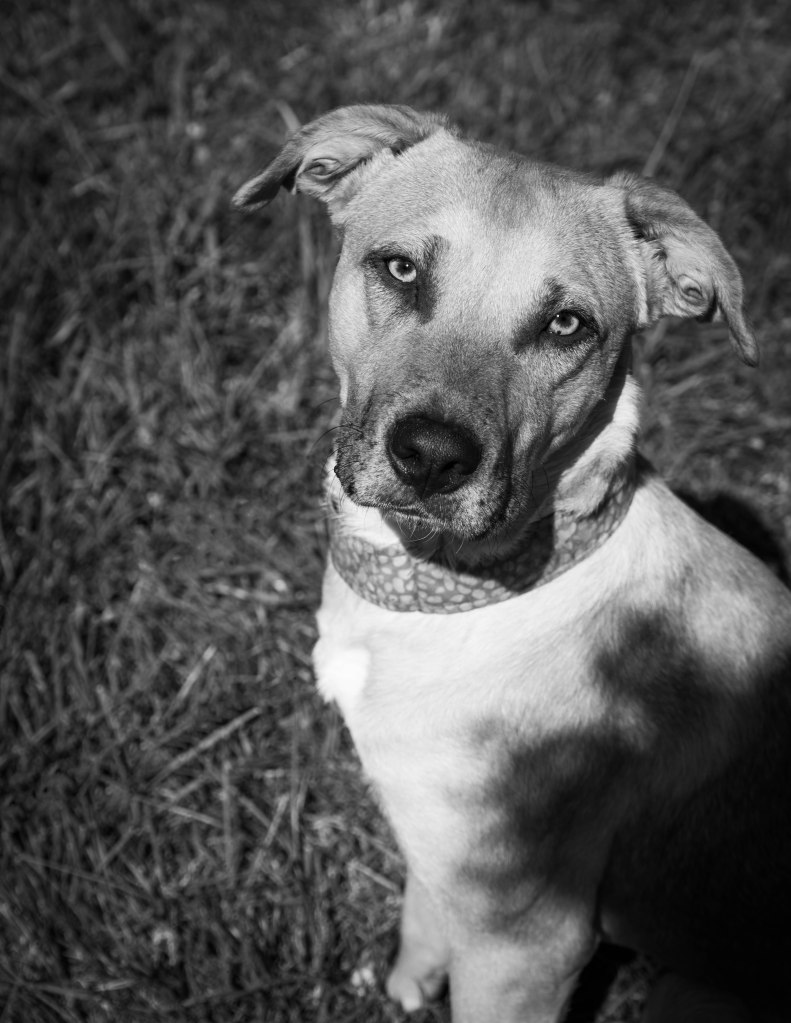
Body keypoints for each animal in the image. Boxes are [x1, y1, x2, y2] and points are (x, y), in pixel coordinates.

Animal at [234, 106, 791, 1022]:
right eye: (400, 269)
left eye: (567, 324)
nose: (430, 457)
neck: (461, 594)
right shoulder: (449, 860)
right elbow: (421, 928)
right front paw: (406, 986)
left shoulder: (528, 940)